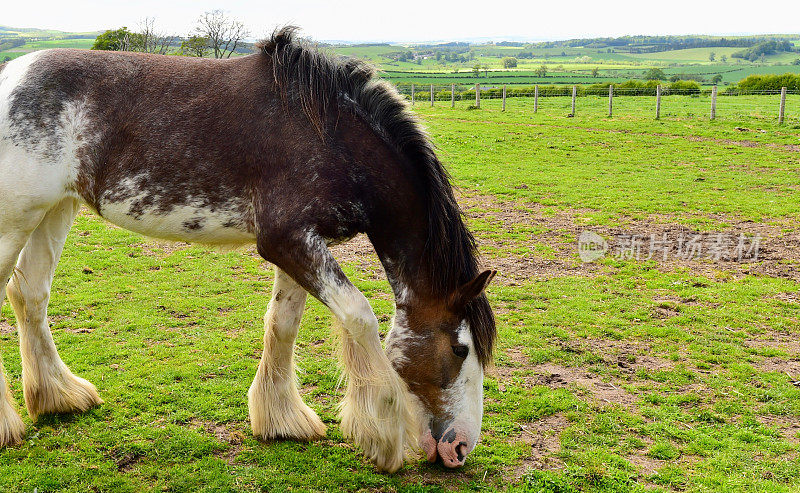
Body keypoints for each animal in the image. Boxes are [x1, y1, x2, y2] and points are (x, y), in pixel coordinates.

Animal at [0, 26, 494, 468]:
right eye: (460, 350)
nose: (460, 448)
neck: (330, 136)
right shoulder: (286, 241)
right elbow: (359, 315)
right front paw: (384, 437)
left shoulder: (299, 245)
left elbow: (283, 323)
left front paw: (281, 419)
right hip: (15, 219)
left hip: (55, 209)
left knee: (30, 293)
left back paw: (58, 396)